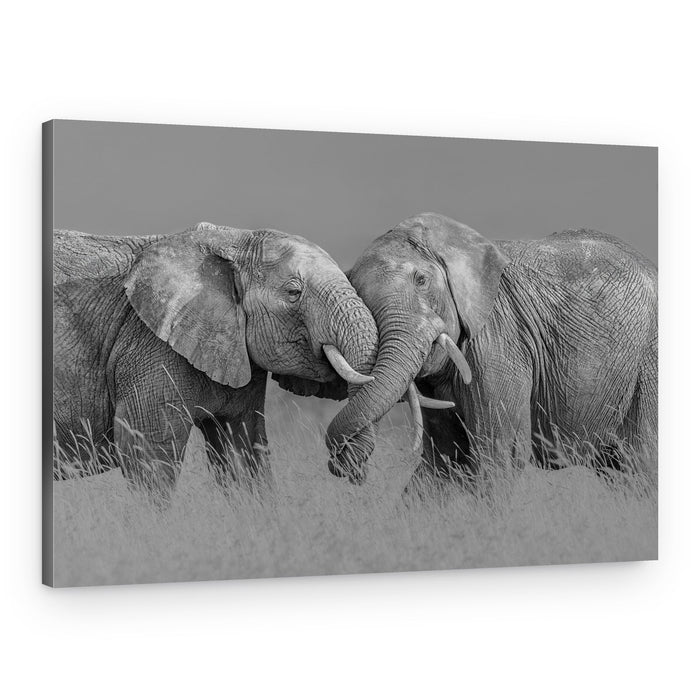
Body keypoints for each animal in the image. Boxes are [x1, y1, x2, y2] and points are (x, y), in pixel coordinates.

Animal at [53, 222, 378, 499]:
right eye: (293, 292)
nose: (349, 471)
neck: (232, 240)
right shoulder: (150, 344)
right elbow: (147, 451)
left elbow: (242, 451)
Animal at [325, 212, 657, 487]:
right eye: (356, 291)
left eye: (421, 280)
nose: (353, 471)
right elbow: (442, 463)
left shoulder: (499, 338)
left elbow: (498, 457)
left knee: (642, 463)